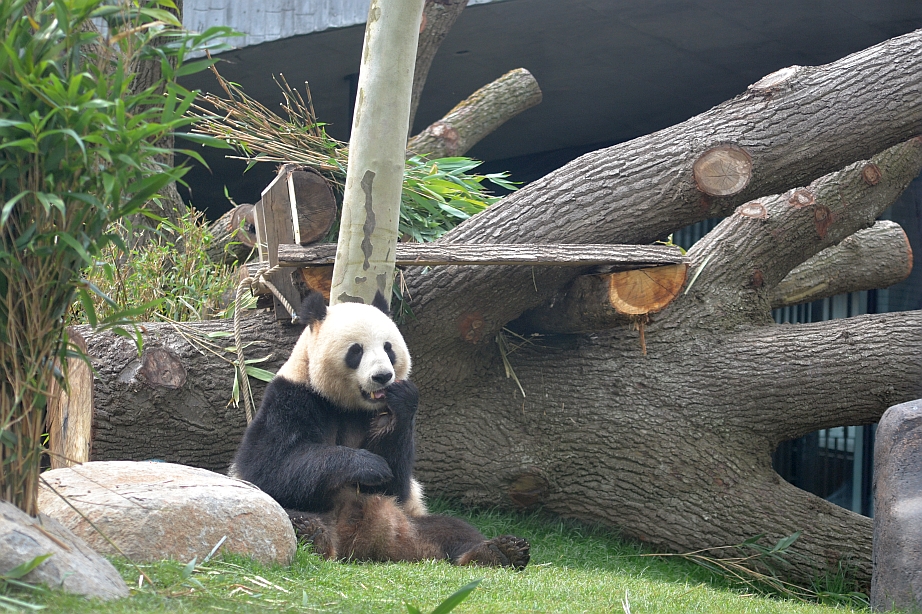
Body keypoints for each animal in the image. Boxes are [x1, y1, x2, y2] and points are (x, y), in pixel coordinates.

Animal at [231, 290, 530, 568]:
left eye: (388, 348)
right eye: (356, 350)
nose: (383, 376)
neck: (350, 406)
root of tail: (370, 541)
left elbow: (396, 483)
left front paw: (397, 410)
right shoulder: (292, 398)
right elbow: (269, 466)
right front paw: (369, 465)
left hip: (414, 517)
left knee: (453, 530)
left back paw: (498, 552)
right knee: (286, 517)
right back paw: (313, 534)